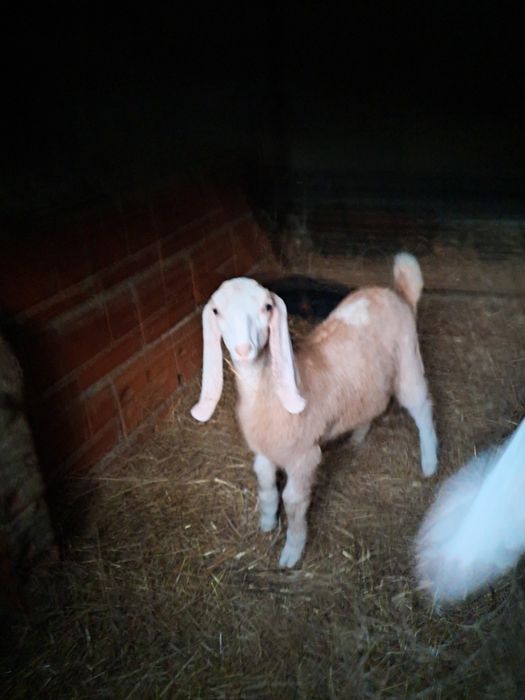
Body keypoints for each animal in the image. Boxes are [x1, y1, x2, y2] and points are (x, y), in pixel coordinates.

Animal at [191, 253, 438, 567]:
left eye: (267, 307)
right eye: (217, 311)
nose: (244, 349)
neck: (271, 392)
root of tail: (396, 292)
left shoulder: (303, 456)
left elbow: (293, 502)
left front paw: (292, 551)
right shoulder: (264, 451)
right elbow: (266, 485)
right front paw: (267, 522)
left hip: (408, 361)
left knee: (422, 407)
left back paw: (430, 462)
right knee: (375, 402)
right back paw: (358, 436)